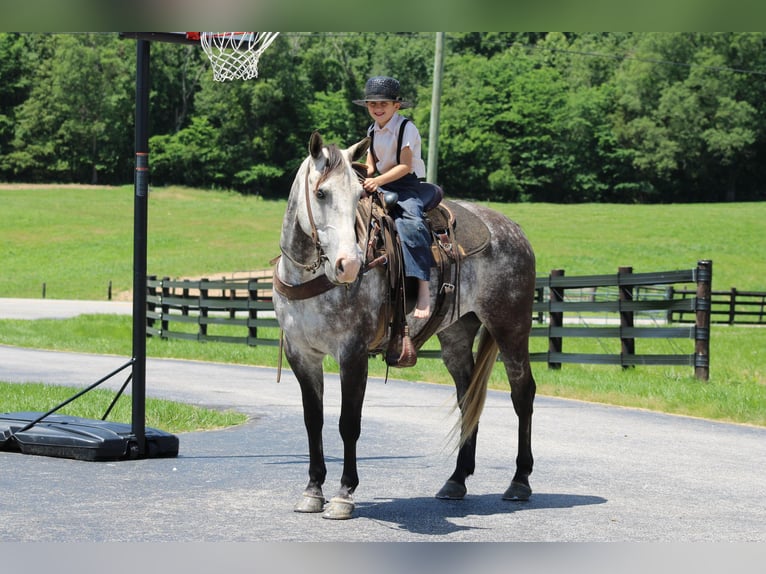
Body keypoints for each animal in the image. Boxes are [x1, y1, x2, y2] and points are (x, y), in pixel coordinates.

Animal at [272, 132, 537, 520]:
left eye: (359, 195)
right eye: (321, 193)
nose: (349, 265)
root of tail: (514, 230)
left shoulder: (352, 353)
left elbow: (348, 423)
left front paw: (343, 494)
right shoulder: (301, 354)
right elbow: (313, 421)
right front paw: (312, 490)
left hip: (511, 328)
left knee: (522, 394)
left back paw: (520, 481)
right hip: (456, 336)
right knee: (466, 397)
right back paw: (456, 480)